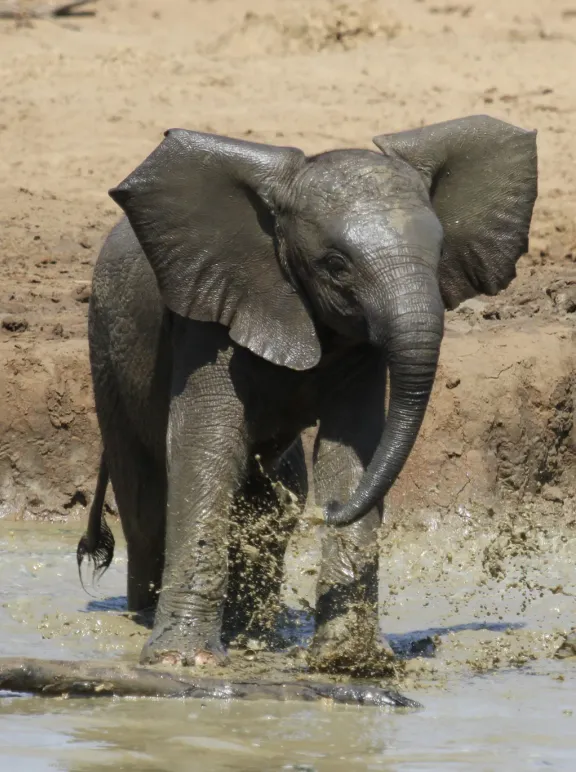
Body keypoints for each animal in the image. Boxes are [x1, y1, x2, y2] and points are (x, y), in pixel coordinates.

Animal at [77, 115, 537, 673]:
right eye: (335, 265)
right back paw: (148, 616)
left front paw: (350, 660)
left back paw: (255, 630)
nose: (329, 511)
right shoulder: (208, 313)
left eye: (441, 252)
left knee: (278, 495)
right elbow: (206, 445)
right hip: (106, 346)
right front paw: (183, 661)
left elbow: (351, 452)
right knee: (146, 504)